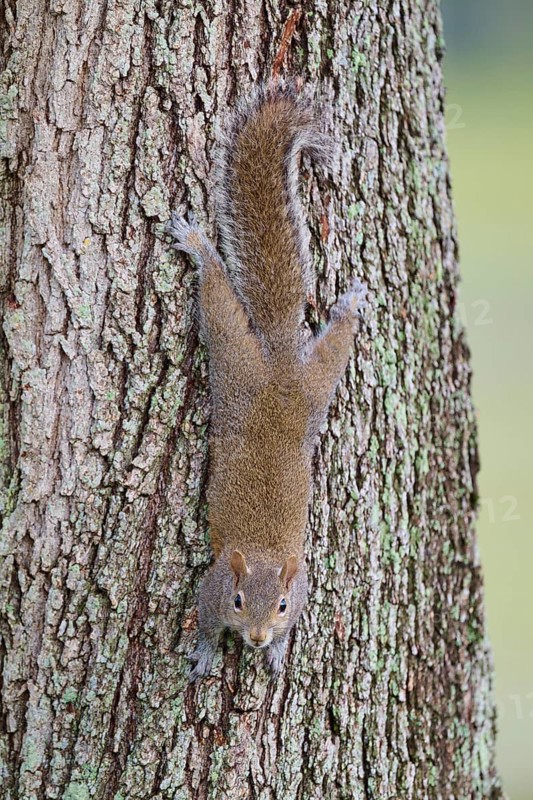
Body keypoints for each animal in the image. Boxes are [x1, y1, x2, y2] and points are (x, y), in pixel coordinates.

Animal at [167, 80, 366, 680]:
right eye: (237, 600)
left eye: (280, 605)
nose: (255, 639)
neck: (258, 556)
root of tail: (278, 367)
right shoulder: (209, 588)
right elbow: (204, 624)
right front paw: (207, 653)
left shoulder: (300, 590)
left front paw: (278, 651)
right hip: (237, 362)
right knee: (217, 297)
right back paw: (199, 246)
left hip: (312, 385)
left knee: (332, 342)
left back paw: (350, 305)